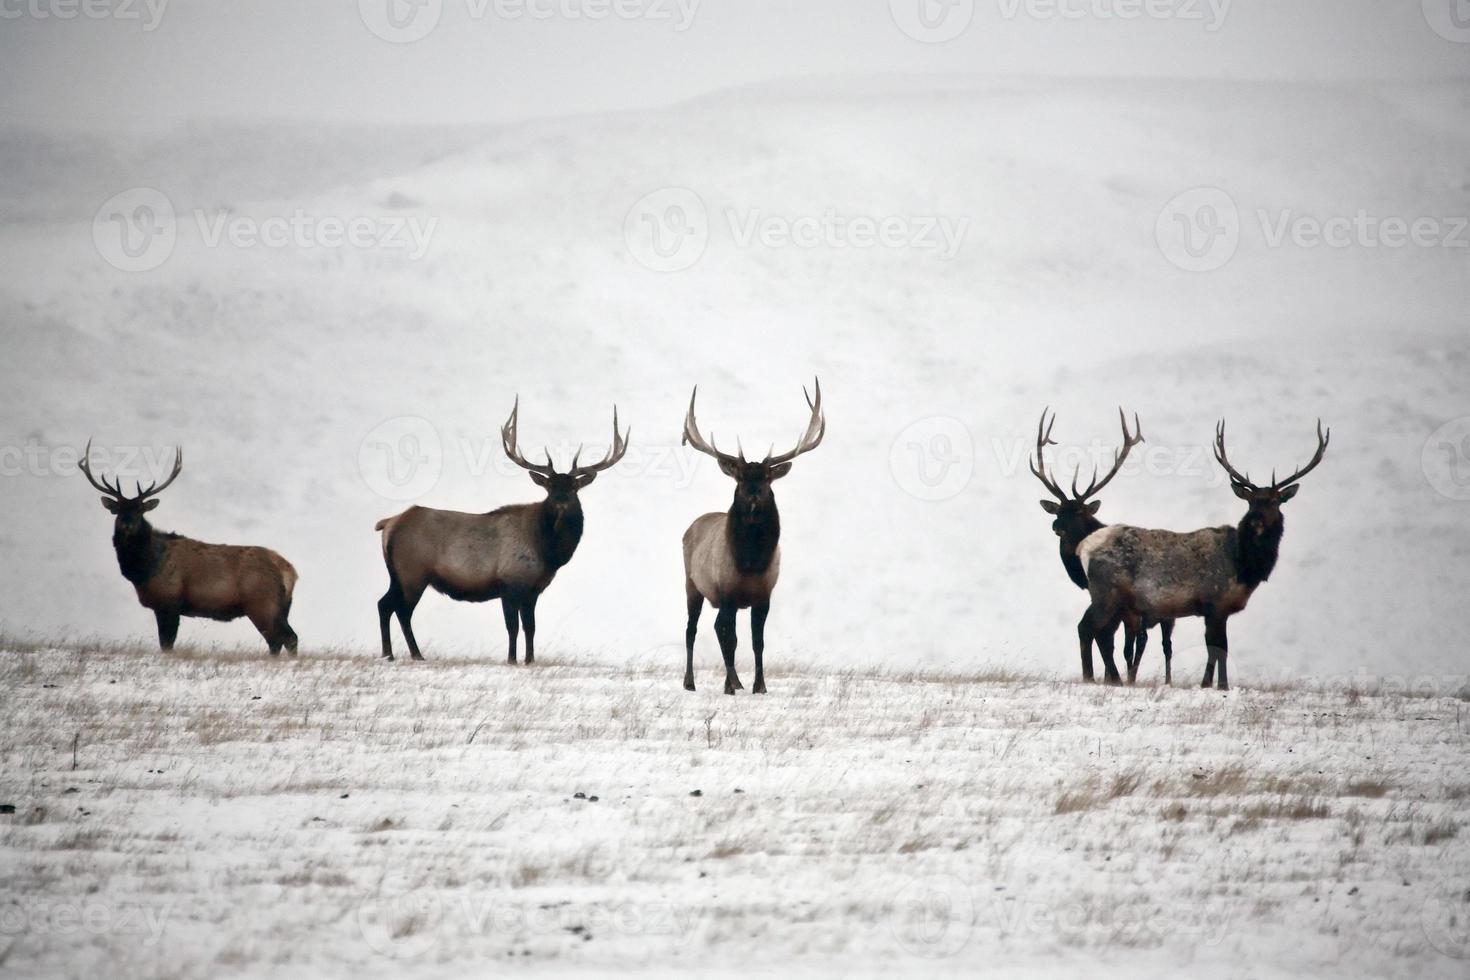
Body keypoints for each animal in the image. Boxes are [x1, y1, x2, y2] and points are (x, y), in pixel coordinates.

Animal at [79, 440, 302, 655]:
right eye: (118, 510)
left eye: (140, 511)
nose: (127, 524)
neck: (144, 569)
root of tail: (289, 571)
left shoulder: (169, 601)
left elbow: (167, 643)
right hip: (280, 607)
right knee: (280, 640)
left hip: (262, 603)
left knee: (285, 638)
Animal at [373, 399, 626, 667]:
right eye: (549, 486)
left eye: (574, 487)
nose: (560, 501)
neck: (548, 553)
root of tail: (389, 524)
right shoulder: (510, 582)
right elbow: (512, 627)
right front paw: (512, 659)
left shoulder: (533, 589)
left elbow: (530, 627)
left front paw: (530, 660)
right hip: (413, 572)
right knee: (400, 610)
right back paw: (412, 654)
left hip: (398, 574)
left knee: (385, 605)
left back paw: (391, 653)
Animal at [679, 379, 823, 693]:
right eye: (741, 478)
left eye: (767, 478)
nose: (754, 494)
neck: (750, 562)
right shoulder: (727, 592)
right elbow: (730, 640)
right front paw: (735, 684)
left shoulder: (764, 596)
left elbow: (758, 643)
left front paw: (759, 686)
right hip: (692, 584)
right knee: (693, 630)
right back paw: (691, 682)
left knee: (715, 629)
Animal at [1034, 411, 1181, 687]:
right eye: (1058, 511)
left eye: (1079, 512)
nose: (1056, 526)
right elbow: (1107, 638)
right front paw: (1108, 677)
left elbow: (1104, 636)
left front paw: (1108, 677)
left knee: (1154, 642)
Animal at [1081, 420, 1334, 690]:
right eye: (1251, 501)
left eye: (1276, 501)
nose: (1255, 520)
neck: (1243, 566)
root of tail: (1086, 548)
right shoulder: (1215, 602)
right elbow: (1219, 647)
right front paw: (1220, 685)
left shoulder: (1214, 610)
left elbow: (1214, 648)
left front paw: (1208, 683)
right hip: (1107, 593)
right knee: (1087, 627)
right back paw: (1091, 676)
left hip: (1115, 600)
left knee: (1100, 633)